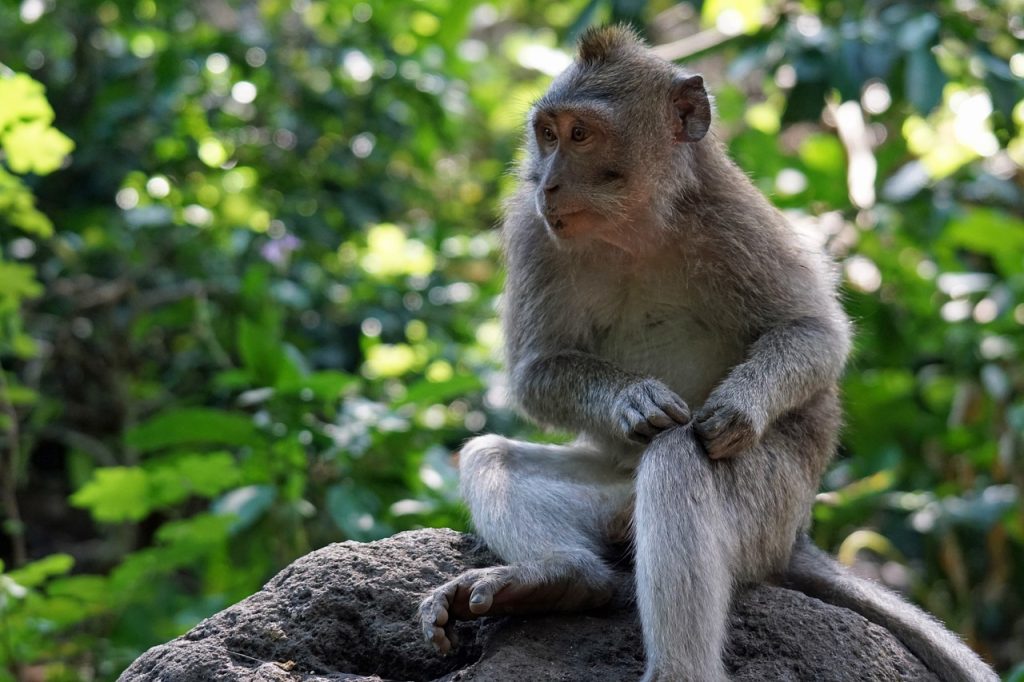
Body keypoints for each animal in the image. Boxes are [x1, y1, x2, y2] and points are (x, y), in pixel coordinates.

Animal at [417, 25, 997, 682]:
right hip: (617, 490)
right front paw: (632, 398)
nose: (547, 183)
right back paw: (559, 579)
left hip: (767, 513)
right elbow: (534, 372)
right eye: (547, 134)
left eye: (581, 134)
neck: (634, 225)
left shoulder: (731, 215)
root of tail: (796, 538)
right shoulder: (532, 231)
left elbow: (814, 331)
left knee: (678, 458)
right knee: (495, 456)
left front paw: (737, 411)